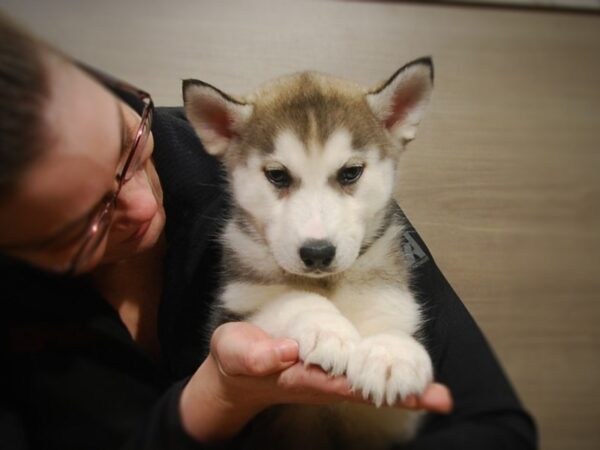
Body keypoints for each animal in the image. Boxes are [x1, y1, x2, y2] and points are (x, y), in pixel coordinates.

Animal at [183, 58, 436, 448]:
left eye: (351, 172)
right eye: (277, 175)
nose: (317, 253)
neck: (327, 284)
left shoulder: (392, 425)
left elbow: (391, 317)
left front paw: (392, 352)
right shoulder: (231, 313)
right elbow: (291, 299)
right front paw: (327, 329)